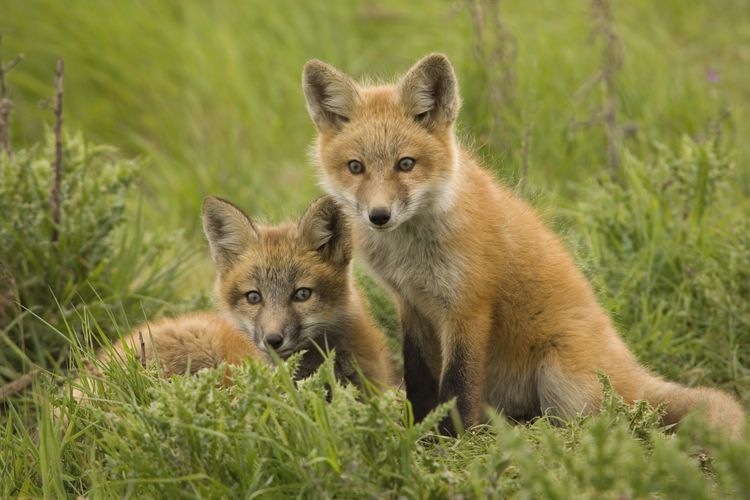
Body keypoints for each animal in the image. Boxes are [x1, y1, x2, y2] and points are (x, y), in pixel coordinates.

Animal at [301, 53, 745, 436]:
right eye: (355, 167)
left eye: (405, 164)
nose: (379, 216)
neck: (410, 254)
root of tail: (627, 363)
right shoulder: (411, 305)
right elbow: (420, 383)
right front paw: (419, 431)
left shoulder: (468, 307)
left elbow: (458, 388)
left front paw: (451, 442)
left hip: (560, 377)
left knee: (602, 422)